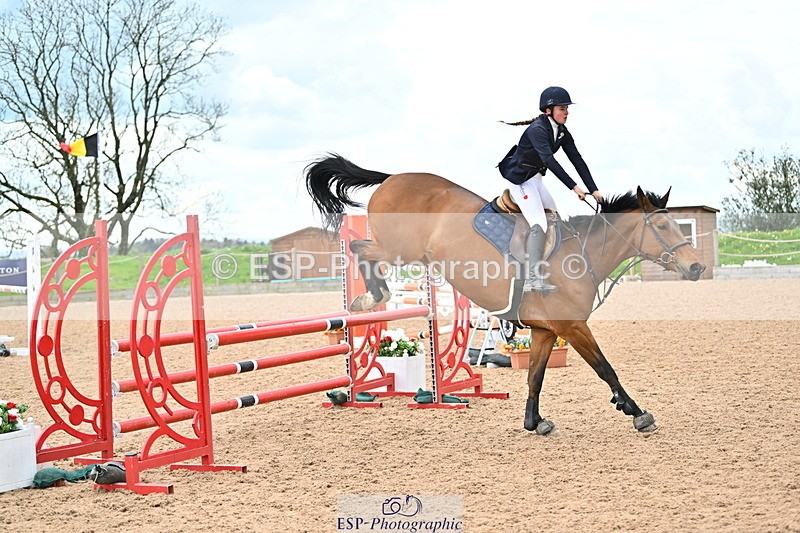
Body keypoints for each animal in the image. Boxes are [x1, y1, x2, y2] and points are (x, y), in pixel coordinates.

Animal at [305, 154, 706, 434]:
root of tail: (392, 178)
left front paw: (535, 421)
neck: (582, 255)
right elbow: (606, 368)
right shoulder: (573, 326)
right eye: (662, 225)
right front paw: (637, 413)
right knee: (359, 248)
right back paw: (370, 298)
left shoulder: (545, 330)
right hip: (397, 249)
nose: (697, 267)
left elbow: (535, 377)